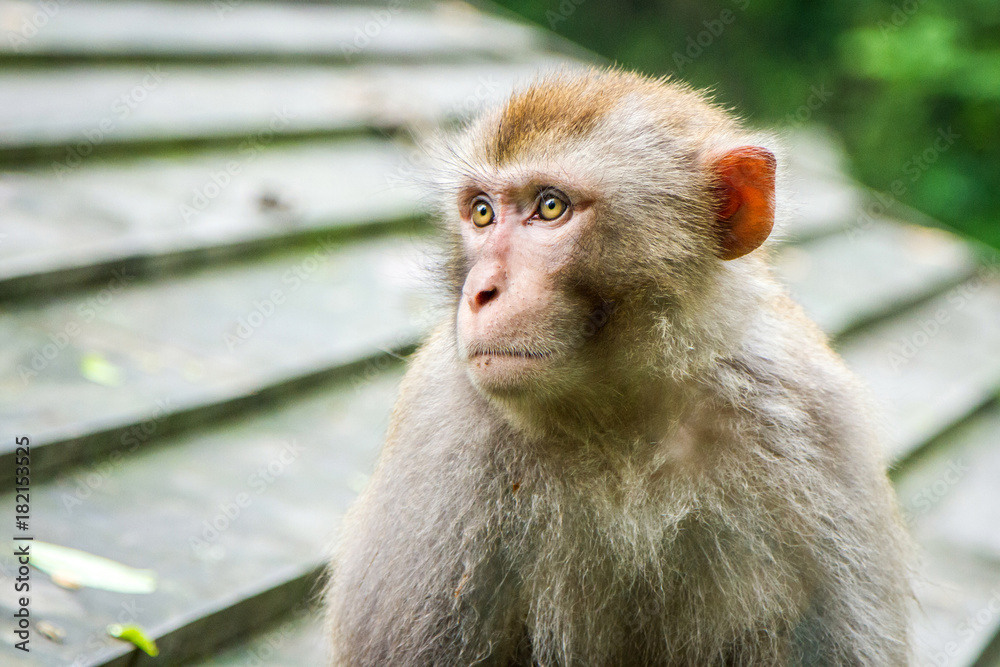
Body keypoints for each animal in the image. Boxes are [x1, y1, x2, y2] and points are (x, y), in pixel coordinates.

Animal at [325, 68, 912, 666]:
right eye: (482, 212)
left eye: (551, 207)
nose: (480, 291)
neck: (620, 419)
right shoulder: (439, 429)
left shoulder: (814, 422)